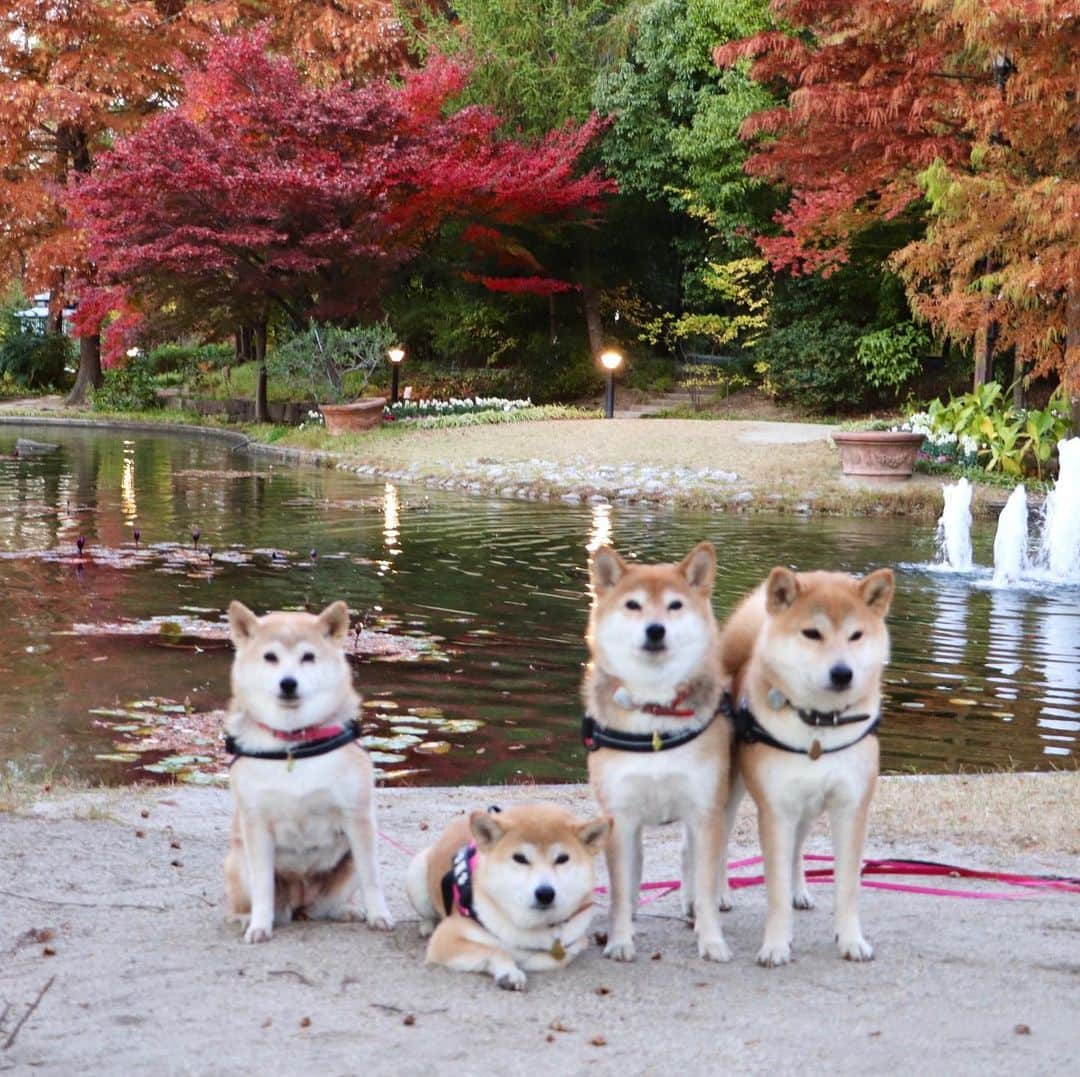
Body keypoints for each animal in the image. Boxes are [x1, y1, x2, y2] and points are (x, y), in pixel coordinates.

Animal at [222, 600, 393, 937]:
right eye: (270, 657)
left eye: (308, 657)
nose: (288, 683)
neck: (294, 745)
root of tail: (299, 903)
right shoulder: (256, 824)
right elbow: (263, 887)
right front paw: (259, 925)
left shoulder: (358, 818)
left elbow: (372, 879)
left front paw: (379, 914)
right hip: (239, 860)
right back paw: (246, 917)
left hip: (347, 865)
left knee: (324, 906)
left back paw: (345, 911)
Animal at [406, 803, 609, 989]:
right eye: (520, 858)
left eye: (562, 859)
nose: (545, 893)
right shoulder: (447, 938)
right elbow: (495, 950)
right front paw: (509, 972)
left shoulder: (576, 941)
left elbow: (554, 957)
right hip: (417, 874)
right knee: (427, 913)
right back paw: (427, 926)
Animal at [583, 542, 734, 963]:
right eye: (633, 605)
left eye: (674, 605)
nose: (655, 629)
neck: (654, 716)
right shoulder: (620, 815)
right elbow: (621, 889)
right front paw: (620, 939)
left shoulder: (704, 808)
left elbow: (705, 878)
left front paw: (711, 939)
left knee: (707, 860)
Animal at [717, 561, 894, 967]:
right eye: (812, 633)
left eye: (856, 635)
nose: (842, 672)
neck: (819, 728)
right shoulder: (776, 811)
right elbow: (775, 890)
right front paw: (776, 945)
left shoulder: (849, 807)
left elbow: (847, 886)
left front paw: (851, 939)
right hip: (729, 796)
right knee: (713, 847)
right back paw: (717, 894)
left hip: (808, 809)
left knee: (798, 850)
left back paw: (800, 890)